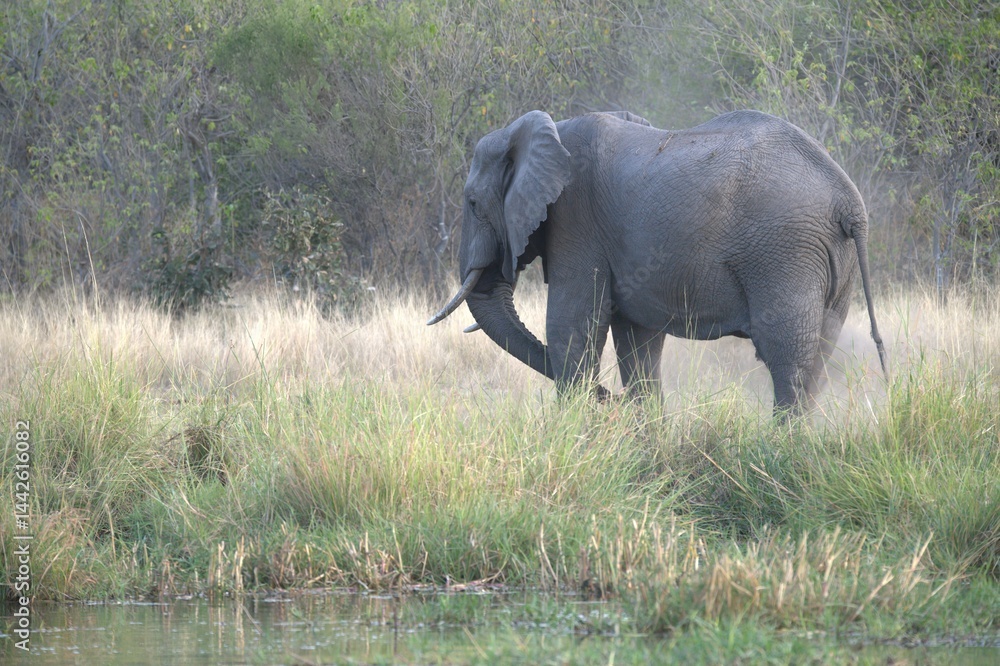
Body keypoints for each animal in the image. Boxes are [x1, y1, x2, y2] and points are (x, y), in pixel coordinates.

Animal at [428, 109, 887, 416]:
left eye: (473, 203)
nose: (612, 400)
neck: (549, 131)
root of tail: (848, 198)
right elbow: (638, 341)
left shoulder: (577, 223)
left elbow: (570, 326)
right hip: (832, 259)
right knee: (818, 355)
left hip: (784, 251)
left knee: (787, 357)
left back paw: (780, 449)